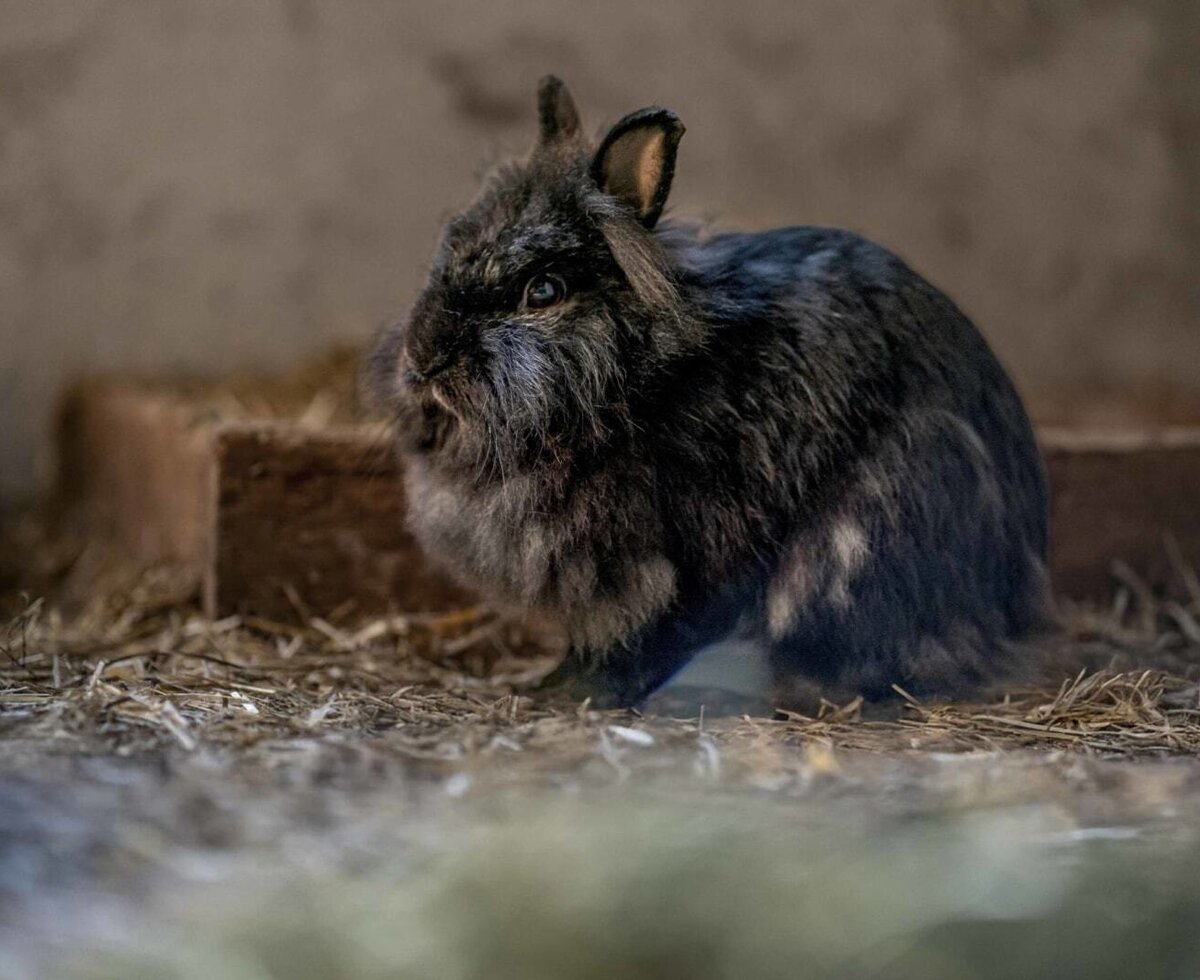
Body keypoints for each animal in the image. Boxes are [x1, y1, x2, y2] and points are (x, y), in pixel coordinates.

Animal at [367, 76, 1050, 710]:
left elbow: (653, 638)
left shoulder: (688, 562)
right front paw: (552, 684)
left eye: (544, 291)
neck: (632, 387)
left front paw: (575, 693)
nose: (423, 360)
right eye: (449, 244)